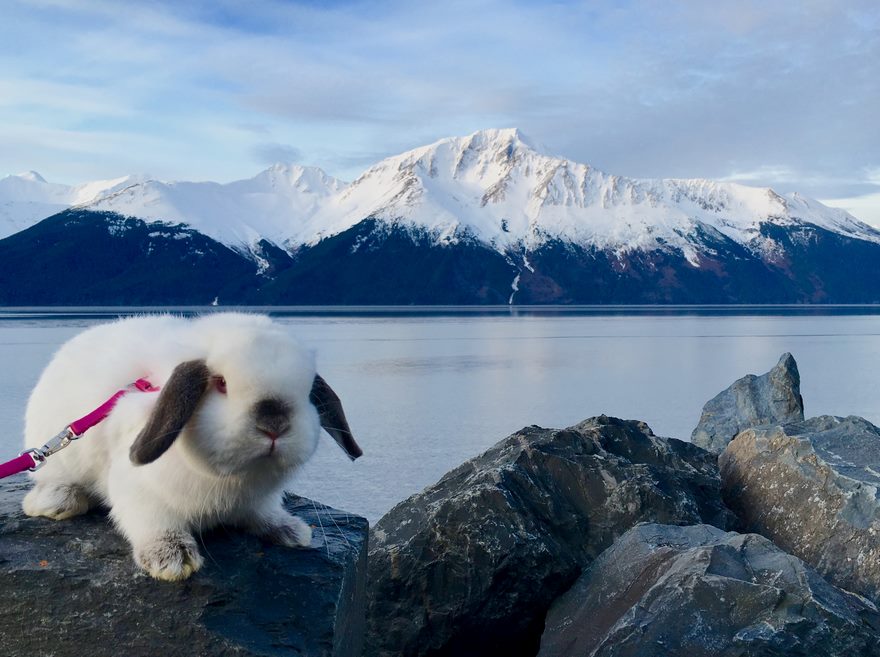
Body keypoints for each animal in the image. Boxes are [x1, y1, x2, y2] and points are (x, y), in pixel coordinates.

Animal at [21, 312, 361, 581]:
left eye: (308, 390)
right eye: (221, 383)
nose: (274, 425)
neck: (235, 477)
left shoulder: (259, 501)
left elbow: (264, 514)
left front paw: (291, 530)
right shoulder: (140, 493)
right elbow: (152, 522)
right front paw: (173, 559)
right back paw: (58, 501)